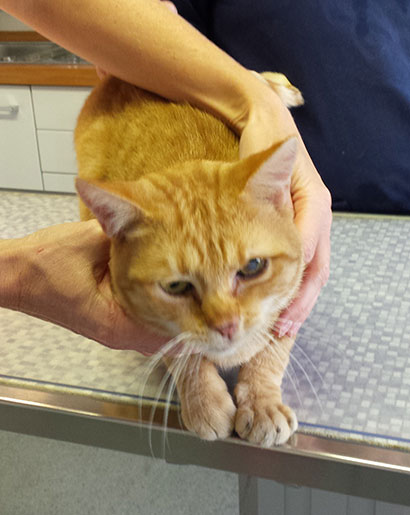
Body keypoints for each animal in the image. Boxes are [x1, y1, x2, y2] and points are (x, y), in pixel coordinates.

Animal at [75, 72, 304, 447]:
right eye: (176, 287)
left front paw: (262, 402)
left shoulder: (295, 297)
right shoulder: (147, 323)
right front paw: (204, 401)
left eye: (252, 267)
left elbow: (272, 351)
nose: (227, 326)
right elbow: (183, 354)